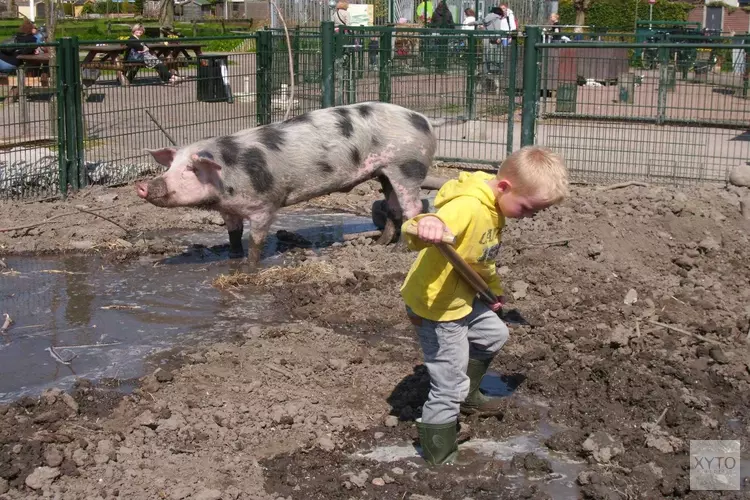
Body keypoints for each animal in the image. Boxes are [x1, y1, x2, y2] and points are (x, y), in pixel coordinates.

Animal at [138, 102, 438, 266]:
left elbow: (256, 240)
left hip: (408, 166)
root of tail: (423, 119)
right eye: (171, 167)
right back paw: (380, 245)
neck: (227, 176)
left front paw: (249, 266)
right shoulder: (228, 209)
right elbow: (234, 234)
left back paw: (399, 250)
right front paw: (233, 257)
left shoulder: (264, 205)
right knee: (393, 208)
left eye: (191, 169)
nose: (144, 186)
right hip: (386, 172)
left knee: (413, 209)